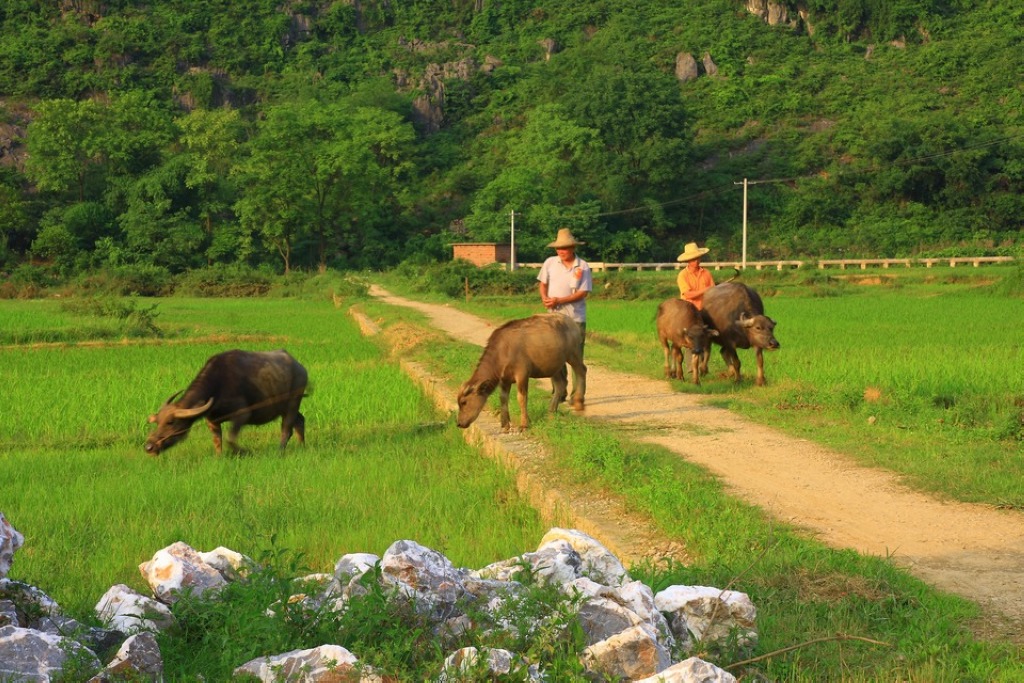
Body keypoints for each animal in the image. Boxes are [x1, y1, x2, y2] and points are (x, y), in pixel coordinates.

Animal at [144, 350, 305, 456]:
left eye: (170, 422)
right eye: (157, 421)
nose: (149, 447)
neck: (217, 385)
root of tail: (300, 367)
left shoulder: (242, 415)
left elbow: (230, 439)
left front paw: (245, 451)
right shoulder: (212, 420)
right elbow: (217, 441)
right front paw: (219, 457)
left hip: (293, 402)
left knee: (286, 429)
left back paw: (280, 450)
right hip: (286, 407)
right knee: (300, 421)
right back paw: (301, 445)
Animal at [454, 313, 585, 430]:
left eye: (464, 402)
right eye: (459, 403)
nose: (459, 423)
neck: (503, 351)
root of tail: (571, 321)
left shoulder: (522, 374)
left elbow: (521, 398)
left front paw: (524, 424)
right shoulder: (504, 379)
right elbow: (503, 398)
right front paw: (505, 423)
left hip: (574, 354)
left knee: (582, 371)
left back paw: (579, 402)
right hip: (555, 366)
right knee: (560, 384)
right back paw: (551, 411)